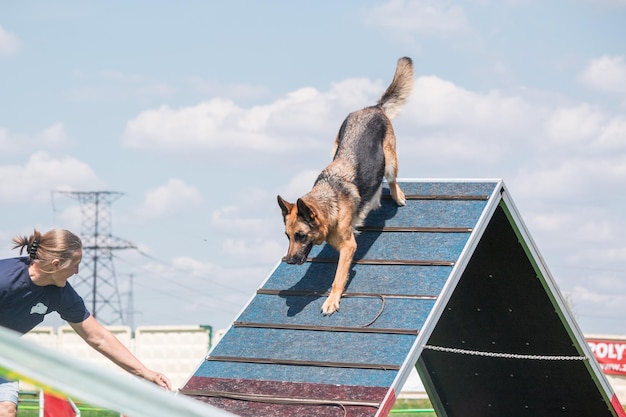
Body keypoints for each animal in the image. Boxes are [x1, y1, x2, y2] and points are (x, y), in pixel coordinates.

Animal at [276, 57, 412, 314]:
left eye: (300, 235)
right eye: (287, 236)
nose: (288, 261)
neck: (331, 203)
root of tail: (374, 107)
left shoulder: (349, 246)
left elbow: (338, 276)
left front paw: (331, 300)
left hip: (390, 160)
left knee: (391, 178)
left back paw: (397, 195)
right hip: (336, 144)